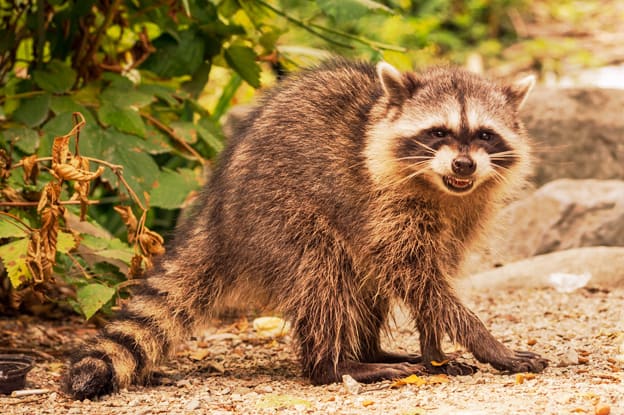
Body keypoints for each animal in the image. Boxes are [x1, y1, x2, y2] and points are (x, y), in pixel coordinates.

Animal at [66, 58, 548, 400]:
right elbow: (416, 277)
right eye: (438, 132)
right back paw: (337, 366)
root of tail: (218, 214)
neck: (442, 189)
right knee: (322, 277)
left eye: (484, 135)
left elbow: (431, 279)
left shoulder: (464, 215)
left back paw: (372, 350)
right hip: (279, 216)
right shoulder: (384, 205)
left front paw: (436, 352)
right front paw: (484, 342)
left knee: (360, 284)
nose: (464, 165)